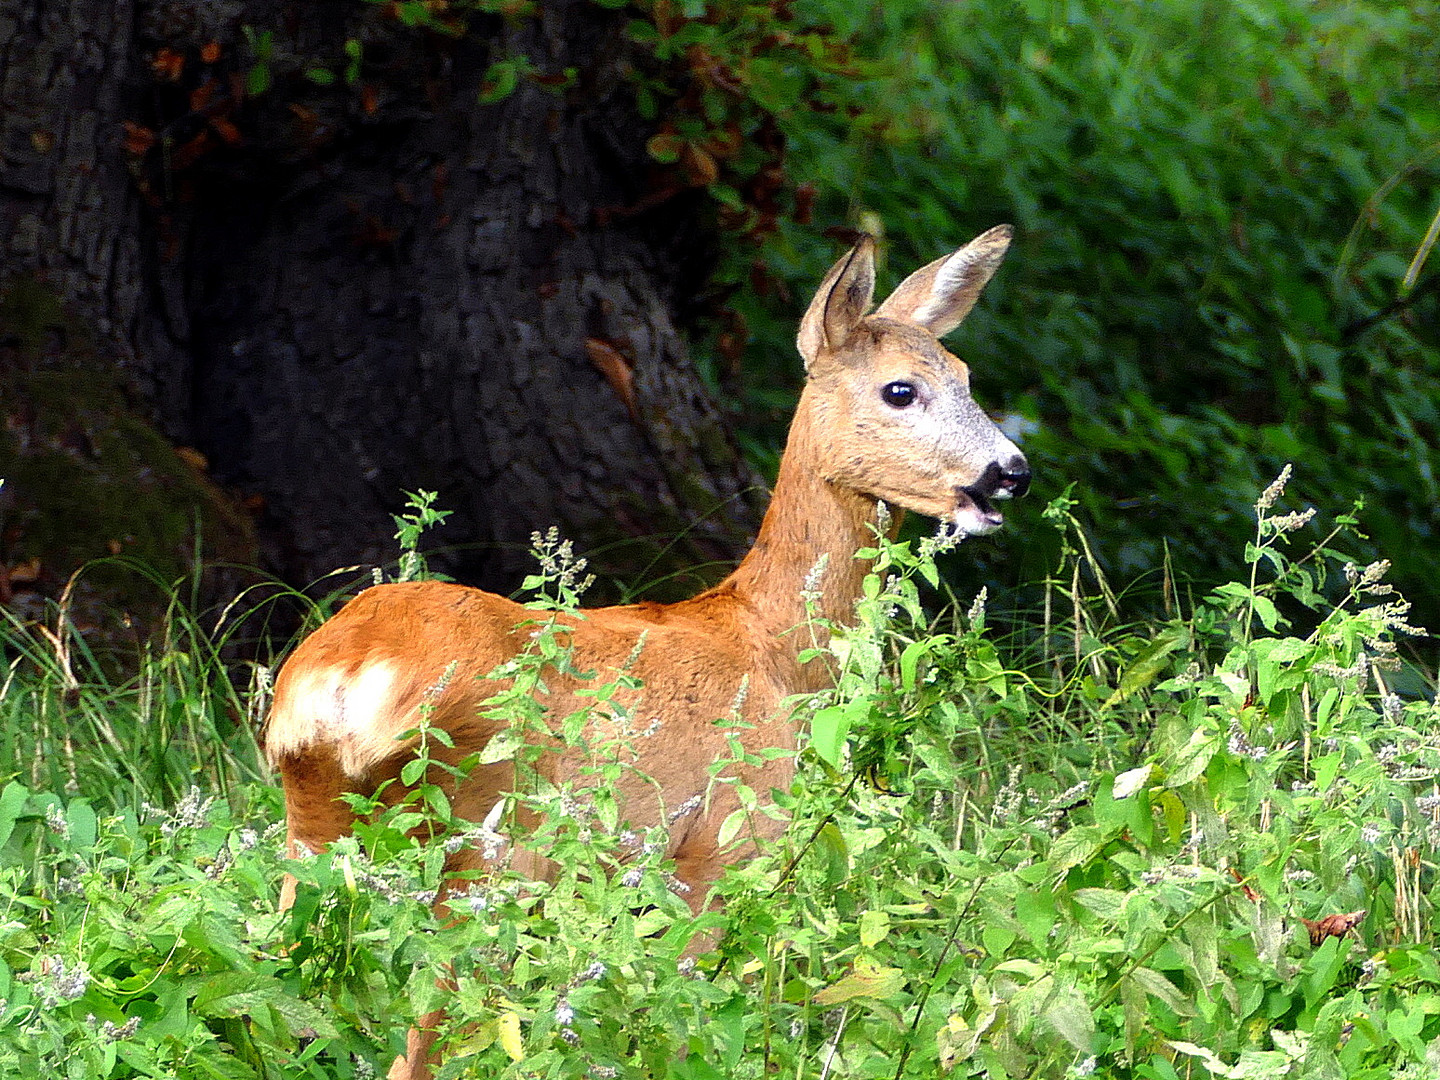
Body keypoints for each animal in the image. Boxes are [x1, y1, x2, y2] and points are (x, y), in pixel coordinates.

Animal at [264, 224, 1031, 1077]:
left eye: (965, 376)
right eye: (901, 389)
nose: (1011, 472)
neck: (770, 648)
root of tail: (346, 672)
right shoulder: (727, 844)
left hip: (315, 825)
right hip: (492, 842)